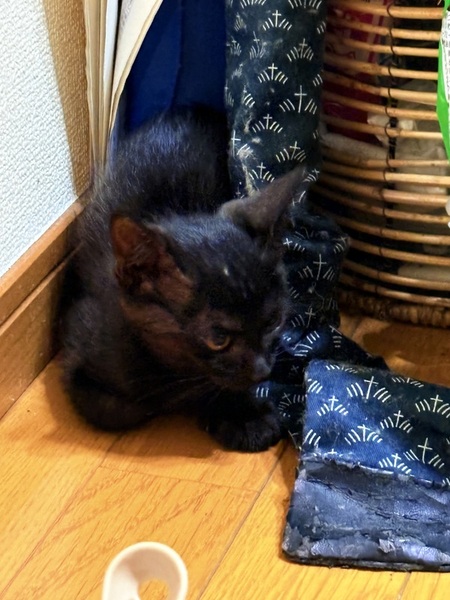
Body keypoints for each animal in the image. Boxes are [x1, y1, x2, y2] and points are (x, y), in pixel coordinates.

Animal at [61, 107, 308, 452]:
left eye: (273, 322)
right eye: (218, 338)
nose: (262, 371)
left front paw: (241, 412)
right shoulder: (77, 341)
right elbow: (121, 409)